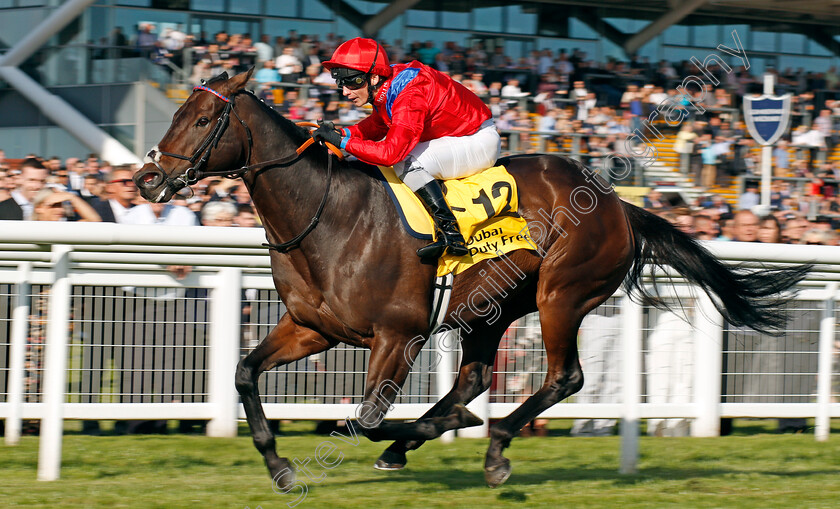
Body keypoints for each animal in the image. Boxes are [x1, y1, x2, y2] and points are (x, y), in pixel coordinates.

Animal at [131, 70, 808, 488]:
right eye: (177, 110)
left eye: (201, 120)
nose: (147, 180)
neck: (328, 215)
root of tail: (621, 204)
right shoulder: (312, 327)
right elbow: (246, 373)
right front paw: (279, 466)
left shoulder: (397, 336)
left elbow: (364, 417)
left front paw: (414, 432)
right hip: (493, 306)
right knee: (476, 377)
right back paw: (440, 437)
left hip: (561, 293)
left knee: (563, 377)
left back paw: (487, 442)